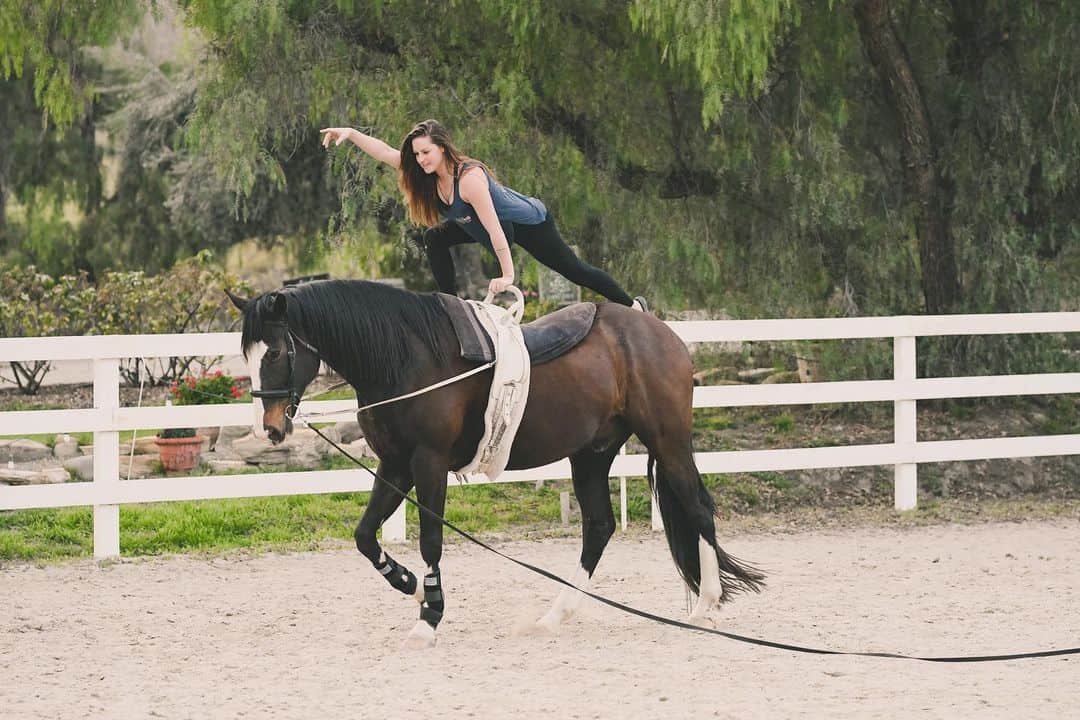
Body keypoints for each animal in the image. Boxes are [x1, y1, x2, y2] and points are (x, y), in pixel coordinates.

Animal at [227, 280, 763, 647]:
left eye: (273, 352)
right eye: (247, 356)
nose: (269, 429)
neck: (404, 358)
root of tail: (658, 331)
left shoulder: (428, 463)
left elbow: (430, 538)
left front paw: (430, 616)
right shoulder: (394, 466)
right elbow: (363, 536)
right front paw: (410, 587)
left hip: (667, 441)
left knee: (698, 509)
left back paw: (706, 606)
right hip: (592, 454)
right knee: (599, 527)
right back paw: (555, 615)